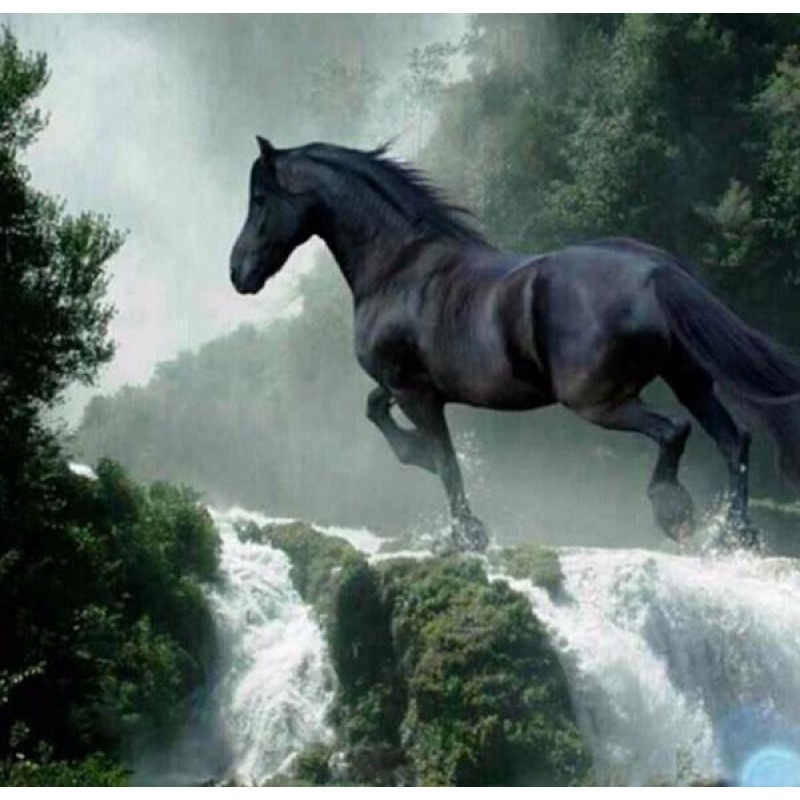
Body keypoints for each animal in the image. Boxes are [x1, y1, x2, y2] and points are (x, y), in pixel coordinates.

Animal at [230, 137, 800, 552]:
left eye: (260, 200)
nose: (238, 273)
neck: (399, 267)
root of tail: (654, 271)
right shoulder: (403, 386)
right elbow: (378, 412)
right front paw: (418, 457)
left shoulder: (417, 393)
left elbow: (446, 462)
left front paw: (467, 534)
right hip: (688, 379)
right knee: (734, 441)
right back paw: (736, 537)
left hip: (597, 400)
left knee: (675, 431)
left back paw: (674, 512)